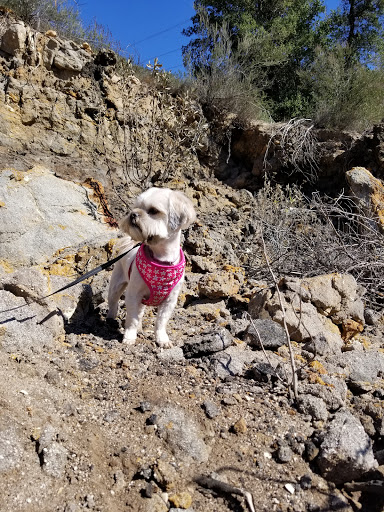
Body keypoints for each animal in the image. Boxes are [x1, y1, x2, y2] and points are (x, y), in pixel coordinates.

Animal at [106, 187, 195, 348]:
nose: (133, 214)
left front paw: (162, 339)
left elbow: (161, 322)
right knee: (114, 302)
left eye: (153, 211)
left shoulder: (169, 301)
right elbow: (132, 318)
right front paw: (130, 336)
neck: (161, 259)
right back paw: (110, 319)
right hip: (116, 286)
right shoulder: (133, 294)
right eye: (136, 206)